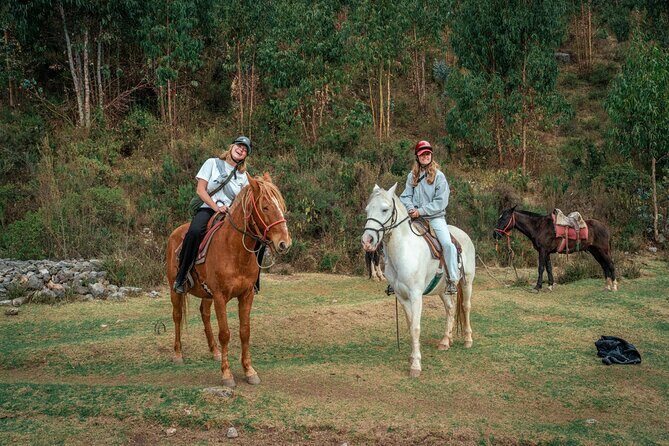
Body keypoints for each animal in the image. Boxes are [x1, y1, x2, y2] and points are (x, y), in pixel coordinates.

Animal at [166, 173, 291, 387]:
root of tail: (174, 234)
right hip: (175, 289)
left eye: (281, 206)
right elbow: (225, 334)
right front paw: (226, 374)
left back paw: (214, 351)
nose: (285, 243)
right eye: (265, 207)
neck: (234, 250)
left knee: (204, 314)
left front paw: (249, 371)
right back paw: (178, 354)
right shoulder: (220, 297)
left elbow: (244, 331)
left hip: (206, 294)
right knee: (177, 316)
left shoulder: (247, 295)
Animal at [361, 184, 476, 378]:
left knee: (465, 307)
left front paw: (415, 365)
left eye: (384, 209)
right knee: (450, 309)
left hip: (467, 281)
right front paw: (412, 357)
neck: (405, 250)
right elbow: (410, 325)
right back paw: (446, 340)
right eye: (368, 209)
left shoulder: (416, 295)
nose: (367, 240)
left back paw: (468, 339)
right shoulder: (401, 296)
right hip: (443, 289)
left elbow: (415, 327)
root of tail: (463, 235)